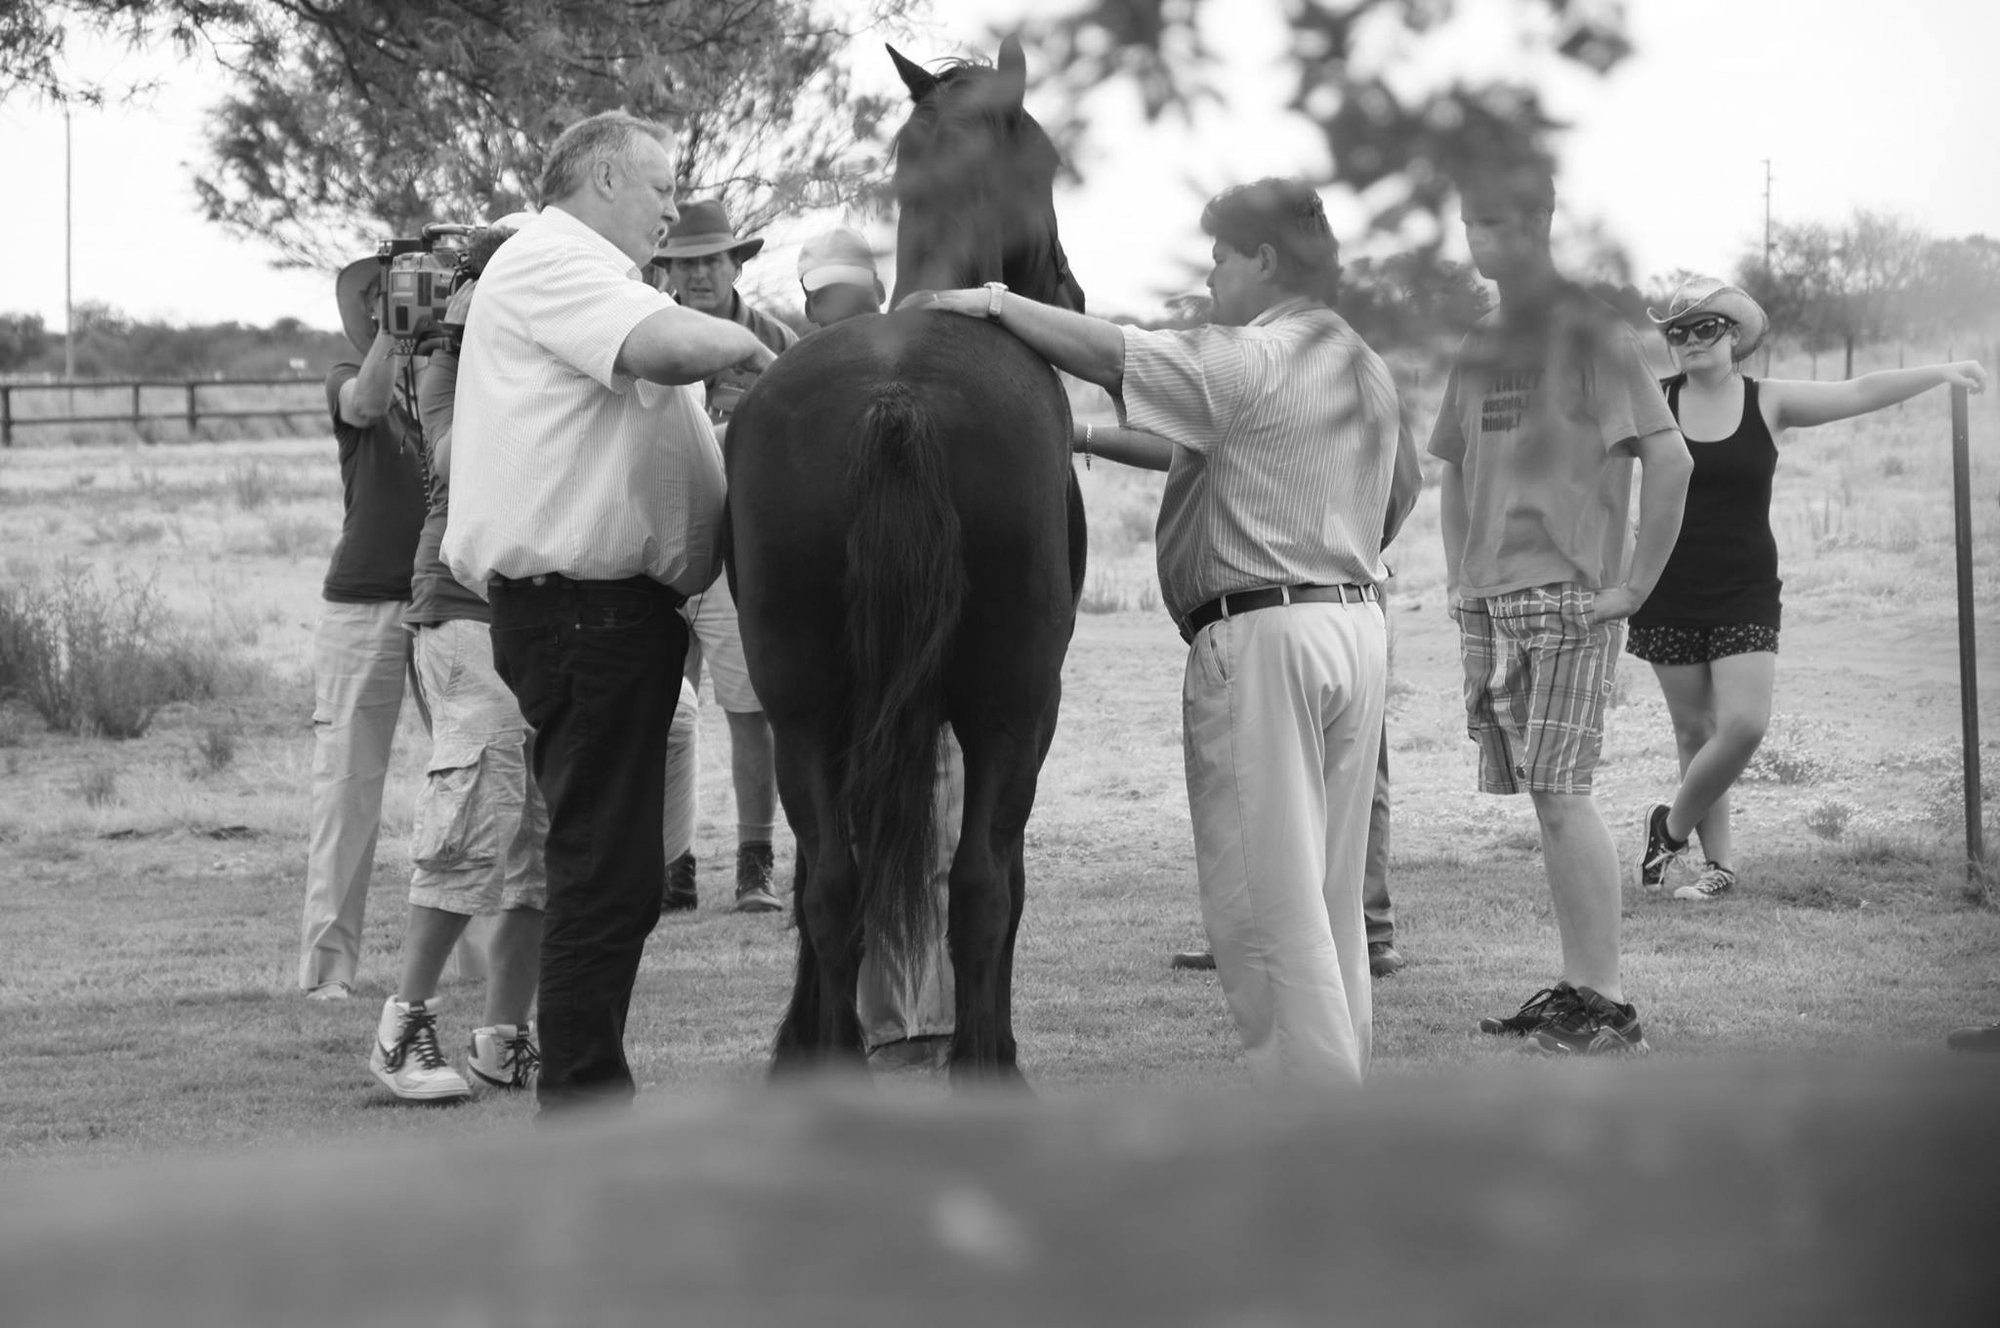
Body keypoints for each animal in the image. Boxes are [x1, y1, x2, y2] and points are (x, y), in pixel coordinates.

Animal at [728, 39, 1088, 1080]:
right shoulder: (1026, 711)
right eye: (1048, 163)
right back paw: (986, 1066)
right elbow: (1001, 878)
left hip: (802, 705)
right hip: (1010, 705)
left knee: (832, 885)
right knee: (980, 883)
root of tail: (897, 399)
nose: (1071, 295)